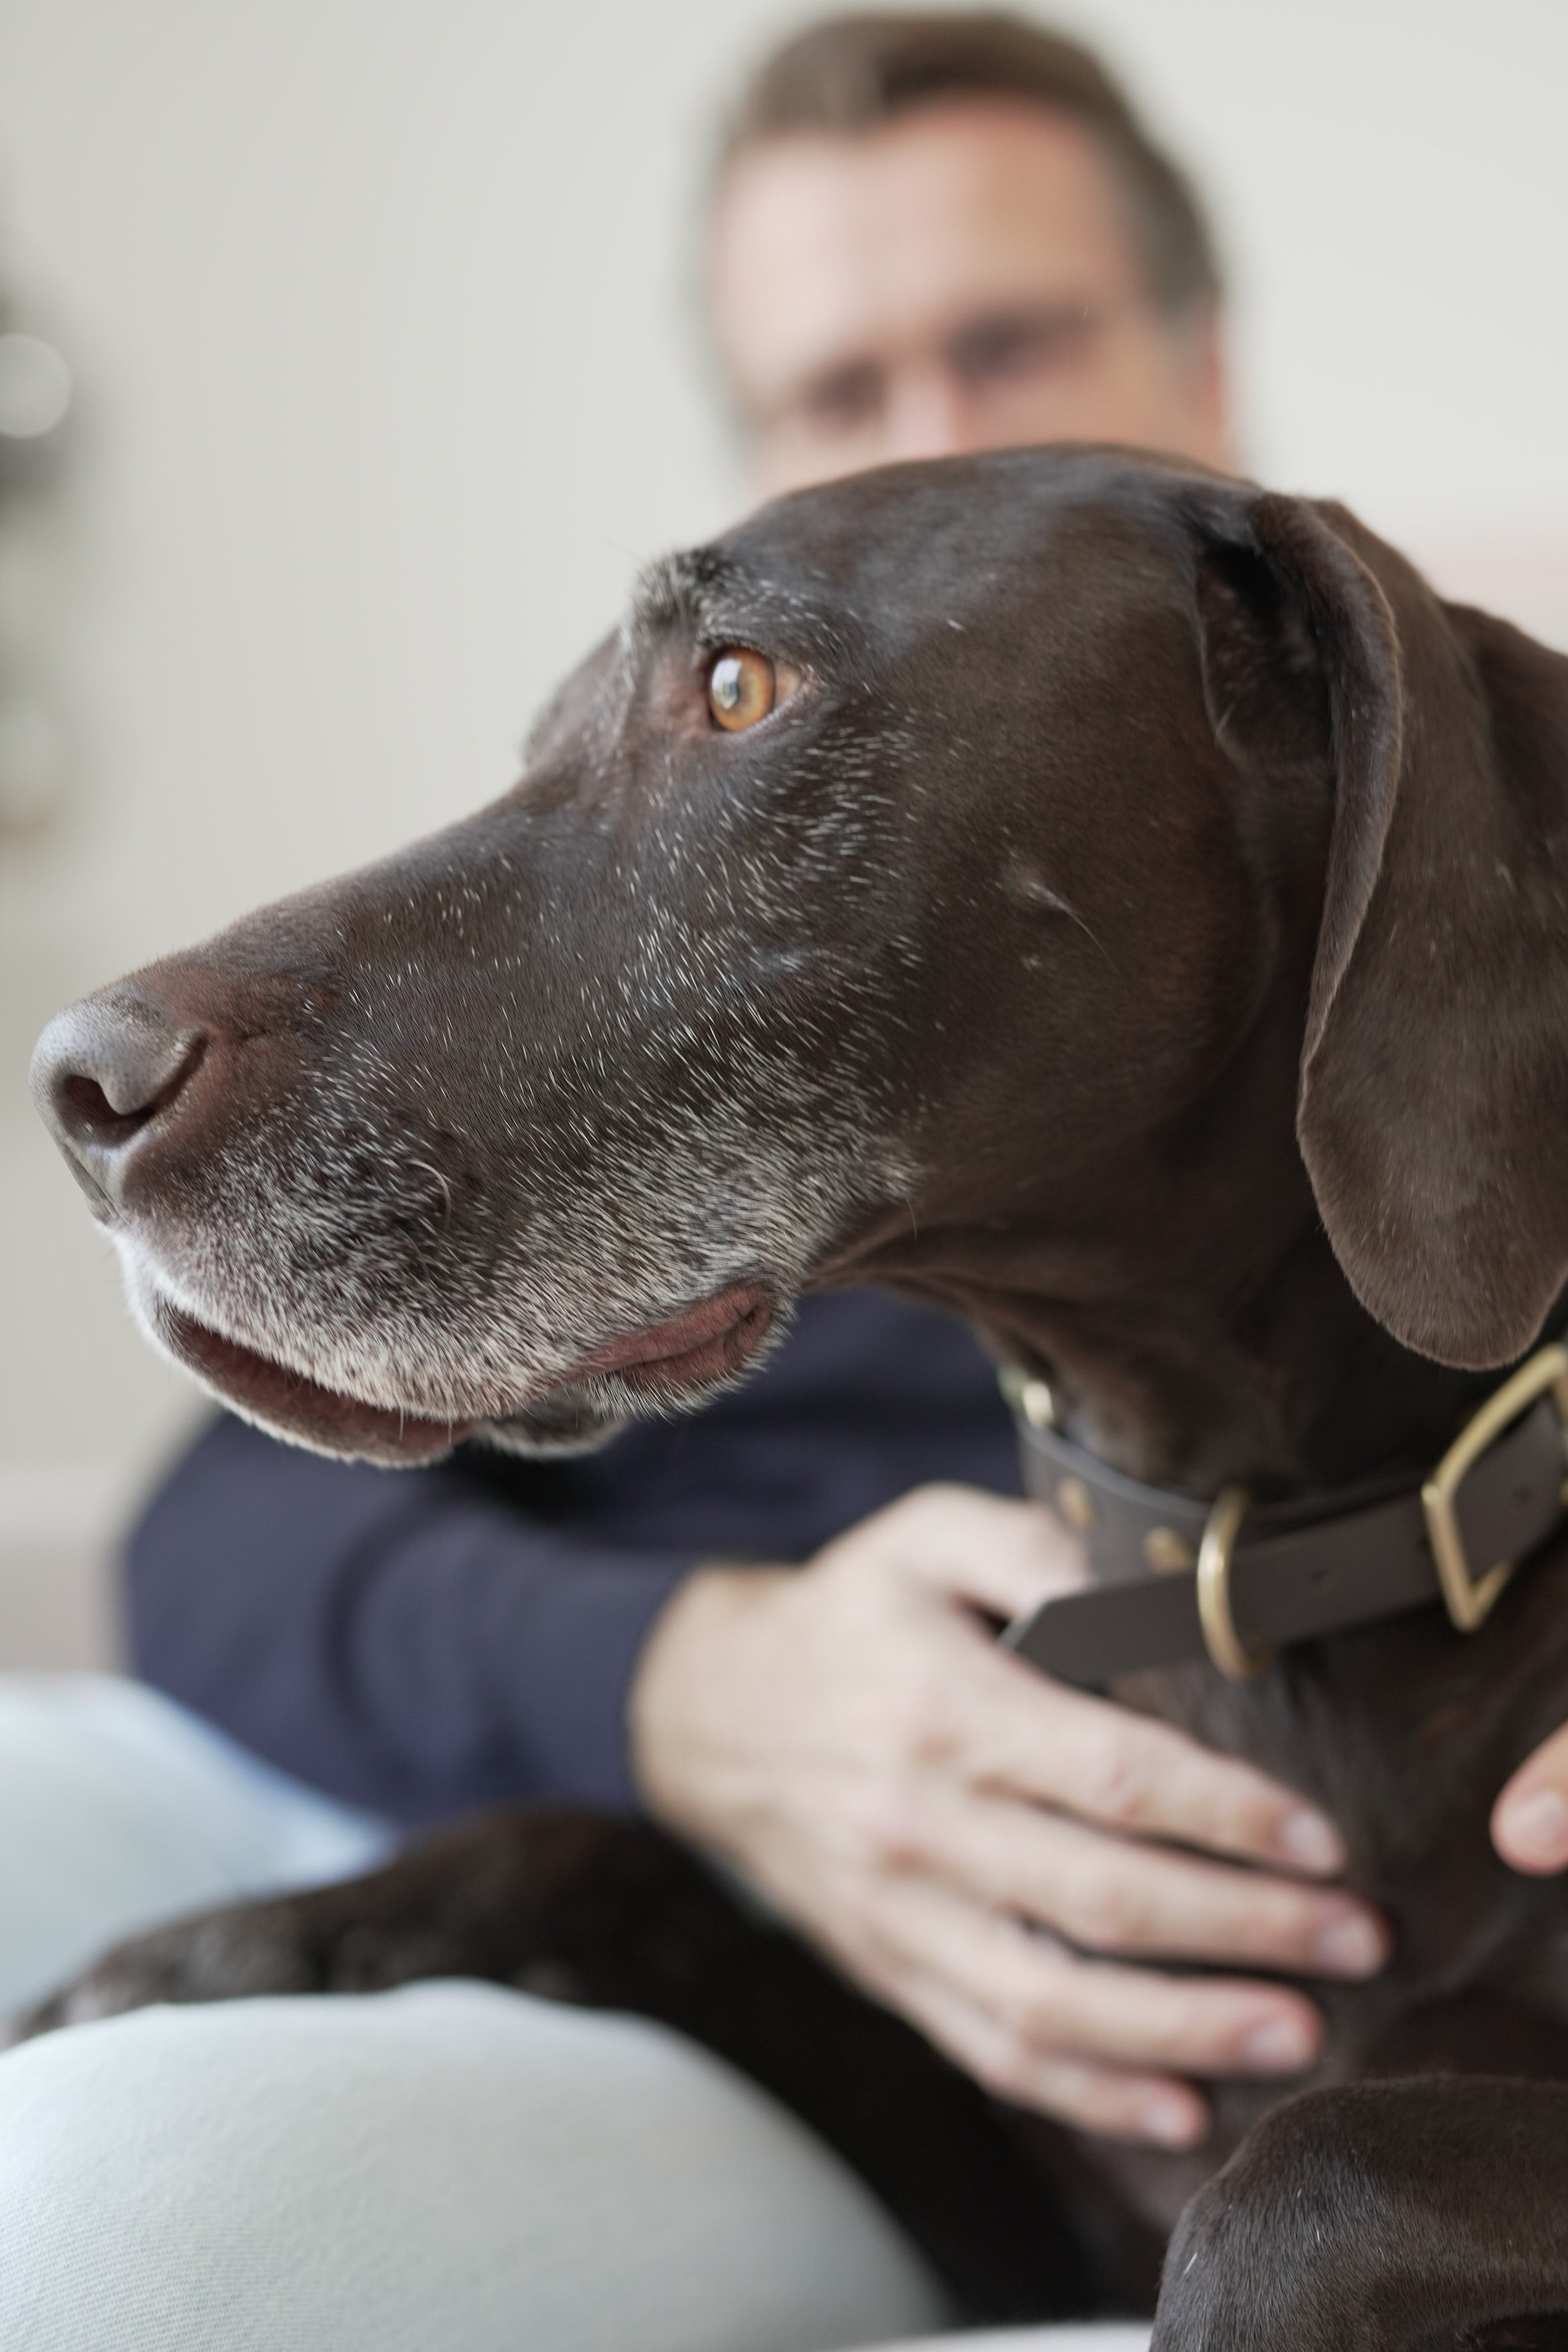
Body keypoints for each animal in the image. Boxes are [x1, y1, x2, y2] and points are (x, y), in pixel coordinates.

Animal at [30, 449, 1568, 2342]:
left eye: (736, 686)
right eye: (541, 732)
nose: (74, 1081)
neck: (1251, 1568)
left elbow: (1309, 2172)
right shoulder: (1025, 2220)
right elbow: (603, 1850)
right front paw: (249, 1938)